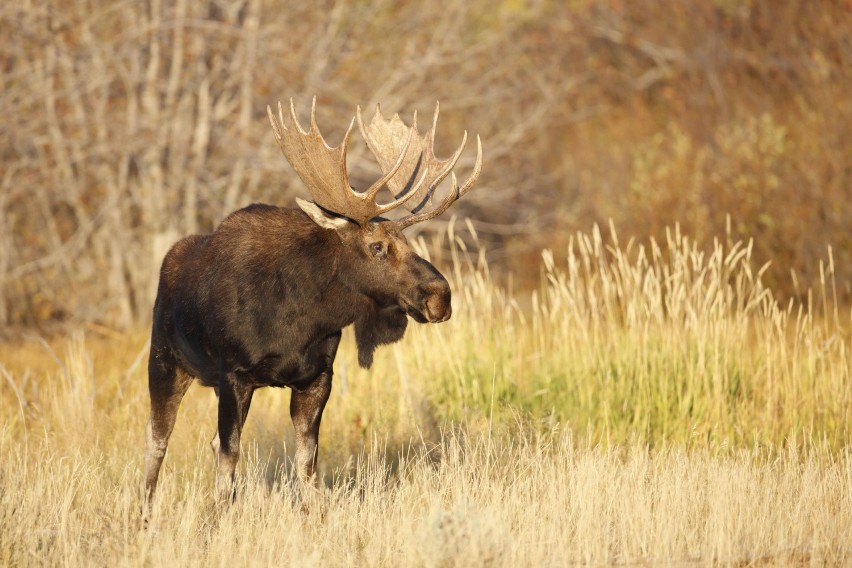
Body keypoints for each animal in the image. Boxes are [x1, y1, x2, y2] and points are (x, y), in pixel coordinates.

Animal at [143, 97, 482, 502]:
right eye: (377, 246)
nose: (440, 296)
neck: (301, 319)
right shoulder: (234, 373)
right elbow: (229, 457)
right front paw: (215, 516)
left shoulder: (318, 376)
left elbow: (307, 463)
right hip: (164, 360)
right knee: (157, 442)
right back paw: (144, 510)